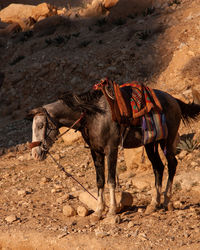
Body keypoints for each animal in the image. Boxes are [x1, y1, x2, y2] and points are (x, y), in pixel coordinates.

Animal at [27, 81, 200, 217]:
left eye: (41, 125)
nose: (35, 154)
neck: (93, 115)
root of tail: (174, 100)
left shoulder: (111, 149)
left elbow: (111, 180)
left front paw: (111, 210)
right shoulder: (95, 151)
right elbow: (100, 180)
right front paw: (98, 211)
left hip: (167, 142)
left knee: (172, 164)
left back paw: (166, 201)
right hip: (150, 144)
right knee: (158, 167)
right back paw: (153, 204)